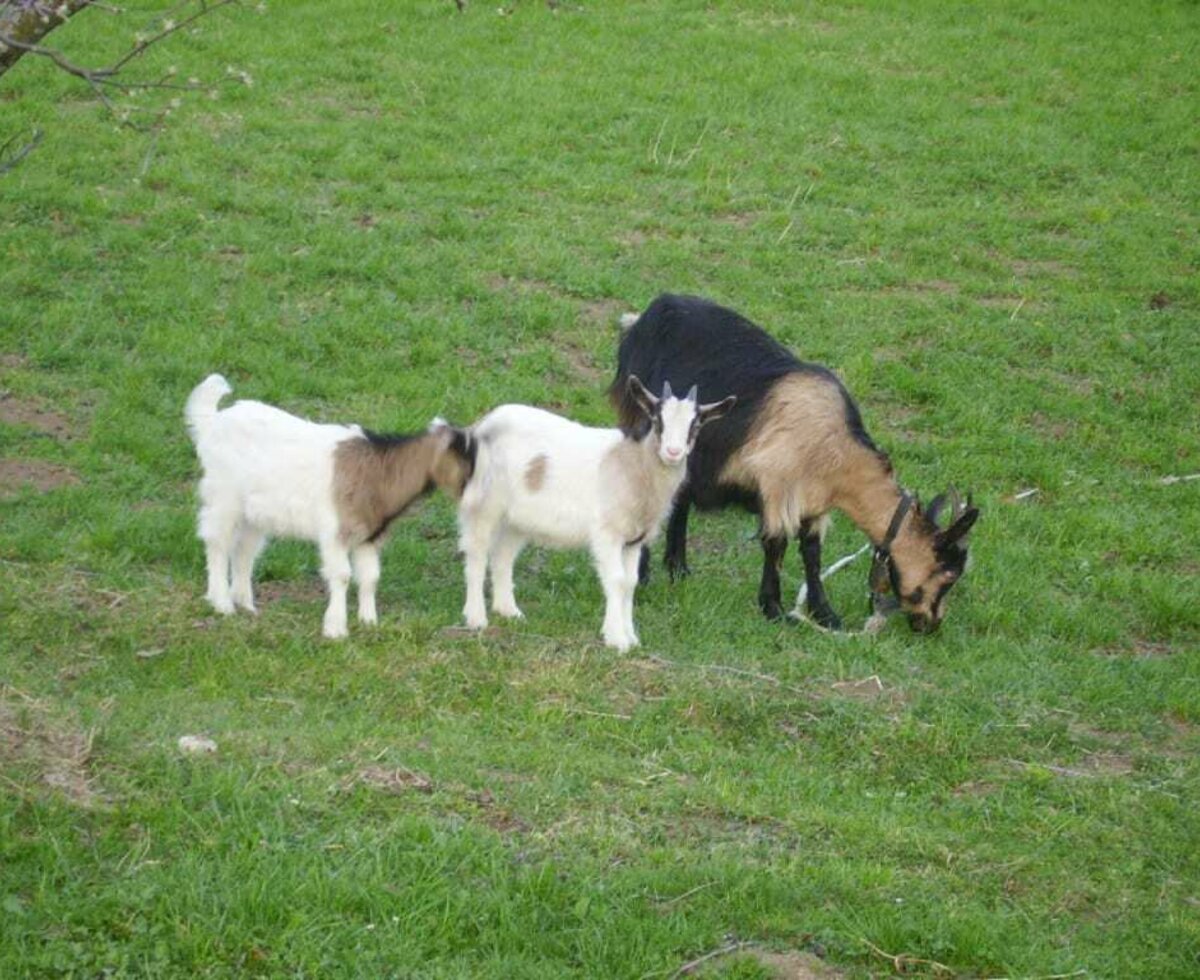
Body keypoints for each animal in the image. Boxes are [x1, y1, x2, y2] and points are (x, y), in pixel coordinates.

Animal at [182, 371, 472, 638]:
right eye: (467, 455)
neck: (378, 471)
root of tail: (212, 422)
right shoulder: (335, 532)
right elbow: (342, 575)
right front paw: (336, 629)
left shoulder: (368, 535)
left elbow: (370, 578)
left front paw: (369, 622)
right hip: (223, 496)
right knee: (217, 543)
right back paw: (222, 604)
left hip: (254, 513)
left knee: (244, 550)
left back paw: (246, 605)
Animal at [456, 381, 729, 647]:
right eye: (657, 420)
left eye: (695, 425)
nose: (673, 452)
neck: (634, 465)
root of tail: (482, 424)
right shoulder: (608, 533)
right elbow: (616, 580)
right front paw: (616, 639)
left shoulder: (633, 540)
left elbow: (630, 582)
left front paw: (631, 637)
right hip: (484, 503)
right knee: (476, 553)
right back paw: (476, 618)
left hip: (517, 519)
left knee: (502, 557)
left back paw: (509, 611)